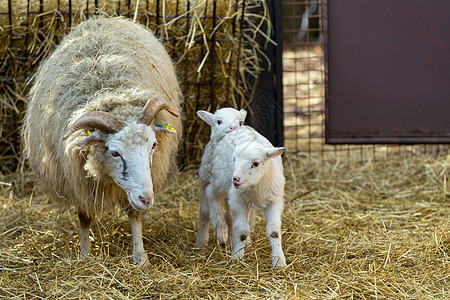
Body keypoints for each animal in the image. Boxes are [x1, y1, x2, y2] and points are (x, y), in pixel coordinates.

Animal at [20, 17, 183, 268]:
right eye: (114, 153)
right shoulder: (77, 179)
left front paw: (140, 257)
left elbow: (134, 214)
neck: (110, 91)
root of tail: (103, 17)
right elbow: (84, 217)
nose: (147, 199)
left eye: (153, 146)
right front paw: (85, 254)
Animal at [195, 112, 286, 268]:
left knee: (232, 217)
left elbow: (274, 231)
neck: (256, 186)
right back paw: (209, 239)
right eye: (234, 159)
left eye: (256, 163)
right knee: (208, 206)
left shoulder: (274, 200)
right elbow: (242, 230)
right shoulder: (238, 200)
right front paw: (237, 257)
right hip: (210, 179)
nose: (235, 179)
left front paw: (279, 261)